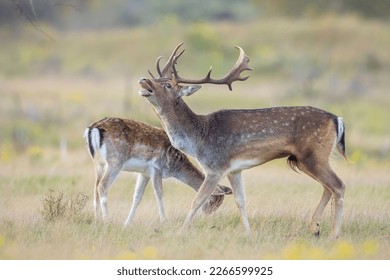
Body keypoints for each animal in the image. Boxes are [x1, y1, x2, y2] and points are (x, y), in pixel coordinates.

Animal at [139, 42, 346, 237]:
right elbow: (241, 201)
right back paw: (315, 228)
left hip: (314, 155)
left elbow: (197, 200)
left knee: (338, 185)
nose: (143, 80)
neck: (199, 138)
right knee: (328, 187)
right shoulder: (234, 170)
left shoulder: (215, 167)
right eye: (156, 78)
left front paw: (180, 233)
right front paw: (248, 234)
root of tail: (337, 119)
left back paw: (333, 235)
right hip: (304, 159)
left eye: (168, 85)